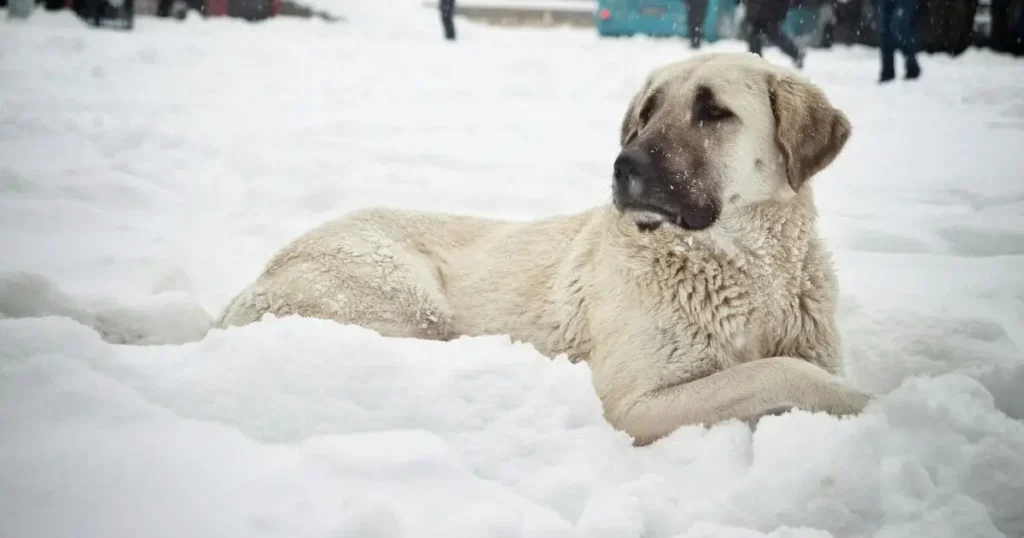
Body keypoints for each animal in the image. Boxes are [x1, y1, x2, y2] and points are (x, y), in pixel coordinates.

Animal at [216, 51, 872, 444]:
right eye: (647, 112)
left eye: (714, 112)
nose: (624, 165)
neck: (748, 270)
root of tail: (250, 283)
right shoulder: (635, 404)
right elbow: (779, 372)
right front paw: (866, 403)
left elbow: (785, 366)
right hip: (405, 302)